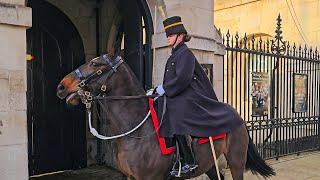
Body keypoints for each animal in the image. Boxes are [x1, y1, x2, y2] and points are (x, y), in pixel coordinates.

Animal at [55, 54, 276, 179]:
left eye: (94, 63)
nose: (61, 86)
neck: (136, 130)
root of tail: (237, 114)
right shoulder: (131, 177)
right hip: (209, 164)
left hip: (236, 160)